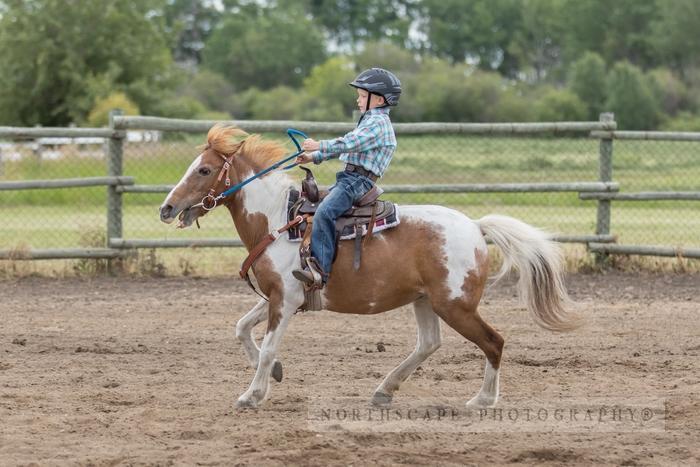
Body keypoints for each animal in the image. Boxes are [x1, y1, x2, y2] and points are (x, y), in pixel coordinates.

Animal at [159, 124, 580, 410]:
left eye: (204, 170)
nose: (166, 208)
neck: (279, 220)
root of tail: (475, 227)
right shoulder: (280, 296)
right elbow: (243, 329)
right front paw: (274, 372)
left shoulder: (285, 299)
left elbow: (266, 346)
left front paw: (252, 394)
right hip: (425, 301)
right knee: (429, 343)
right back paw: (383, 390)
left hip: (455, 305)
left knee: (493, 341)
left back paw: (482, 400)